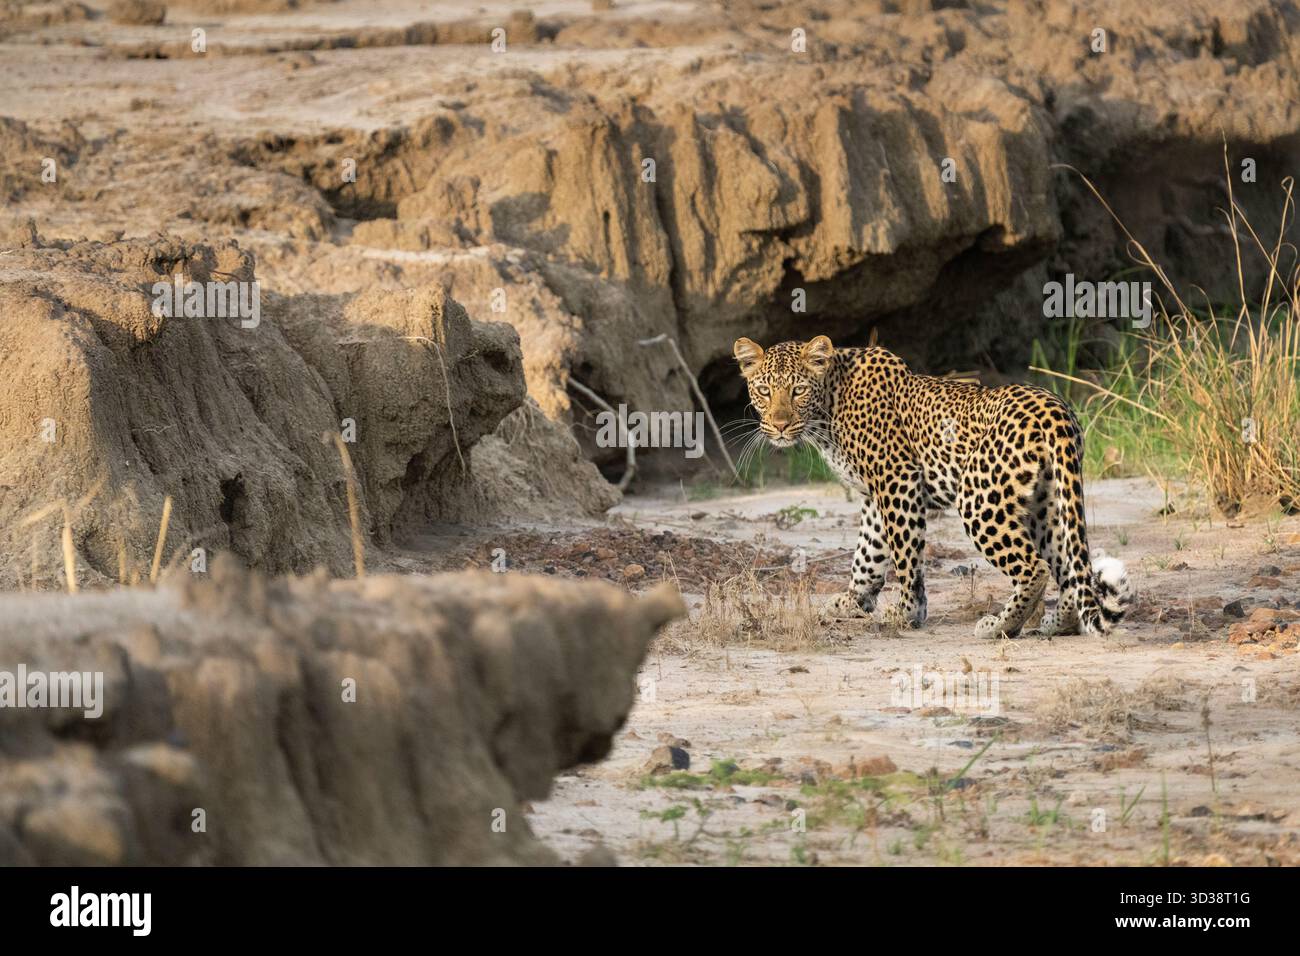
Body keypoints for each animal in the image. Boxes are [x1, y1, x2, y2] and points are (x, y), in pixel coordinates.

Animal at [734, 335, 1132, 638]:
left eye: (798, 390)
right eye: (764, 391)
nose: (780, 425)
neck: (828, 407)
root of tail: (1053, 408)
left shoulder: (896, 478)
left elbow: (905, 554)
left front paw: (907, 612)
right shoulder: (875, 495)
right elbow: (868, 552)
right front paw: (852, 600)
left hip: (979, 497)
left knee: (1035, 567)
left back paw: (1000, 626)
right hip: (1046, 501)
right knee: (1069, 565)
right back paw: (1060, 622)